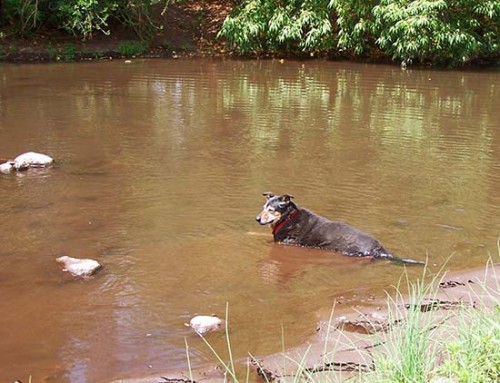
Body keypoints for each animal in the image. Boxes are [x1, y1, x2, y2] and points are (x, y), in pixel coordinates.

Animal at [256, 194, 424, 266]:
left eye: (271, 210)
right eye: (263, 207)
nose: (257, 219)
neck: (287, 218)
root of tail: (379, 248)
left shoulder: (286, 243)